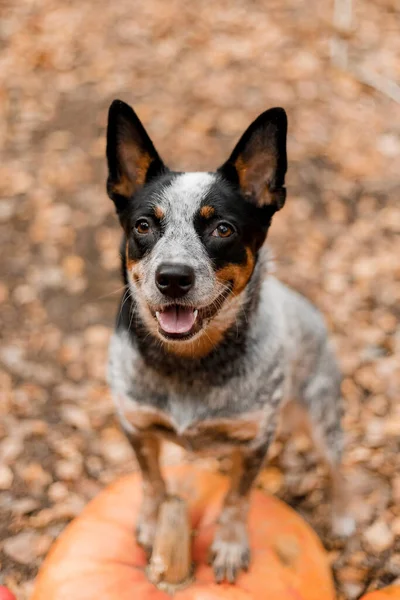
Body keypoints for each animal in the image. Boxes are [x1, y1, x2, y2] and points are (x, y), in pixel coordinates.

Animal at [105, 101, 354, 584]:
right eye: (144, 225)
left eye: (222, 228)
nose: (173, 277)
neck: (188, 364)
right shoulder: (135, 424)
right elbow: (152, 479)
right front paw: (152, 521)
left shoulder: (255, 440)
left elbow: (238, 498)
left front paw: (230, 545)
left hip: (321, 418)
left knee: (337, 467)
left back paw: (344, 517)